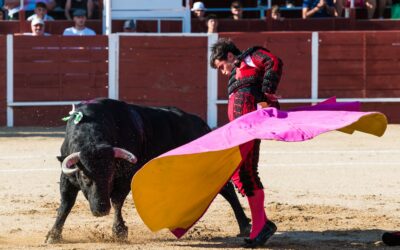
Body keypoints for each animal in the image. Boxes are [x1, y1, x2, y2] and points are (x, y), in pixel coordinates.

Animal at [44, 98, 250, 243]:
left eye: (110, 176)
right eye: (86, 178)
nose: (101, 209)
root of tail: (202, 124)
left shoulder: (125, 177)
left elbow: (117, 201)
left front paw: (119, 231)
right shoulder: (67, 176)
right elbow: (65, 204)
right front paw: (53, 234)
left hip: (204, 165)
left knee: (227, 189)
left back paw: (245, 225)